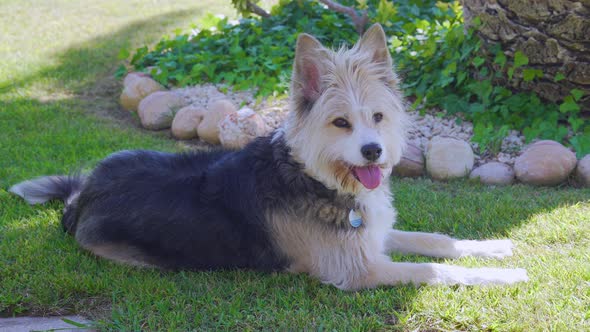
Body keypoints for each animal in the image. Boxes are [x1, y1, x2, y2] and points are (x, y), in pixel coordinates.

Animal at [9, 23, 528, 290]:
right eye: (340, 123)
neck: (315, 177)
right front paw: (505, 275)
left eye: (378, 116)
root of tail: (83, 194)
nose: (374, 151)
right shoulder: (356, 270)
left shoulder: (371, 236)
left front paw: (495, 248)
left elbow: (436, 241)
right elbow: (435, 268)